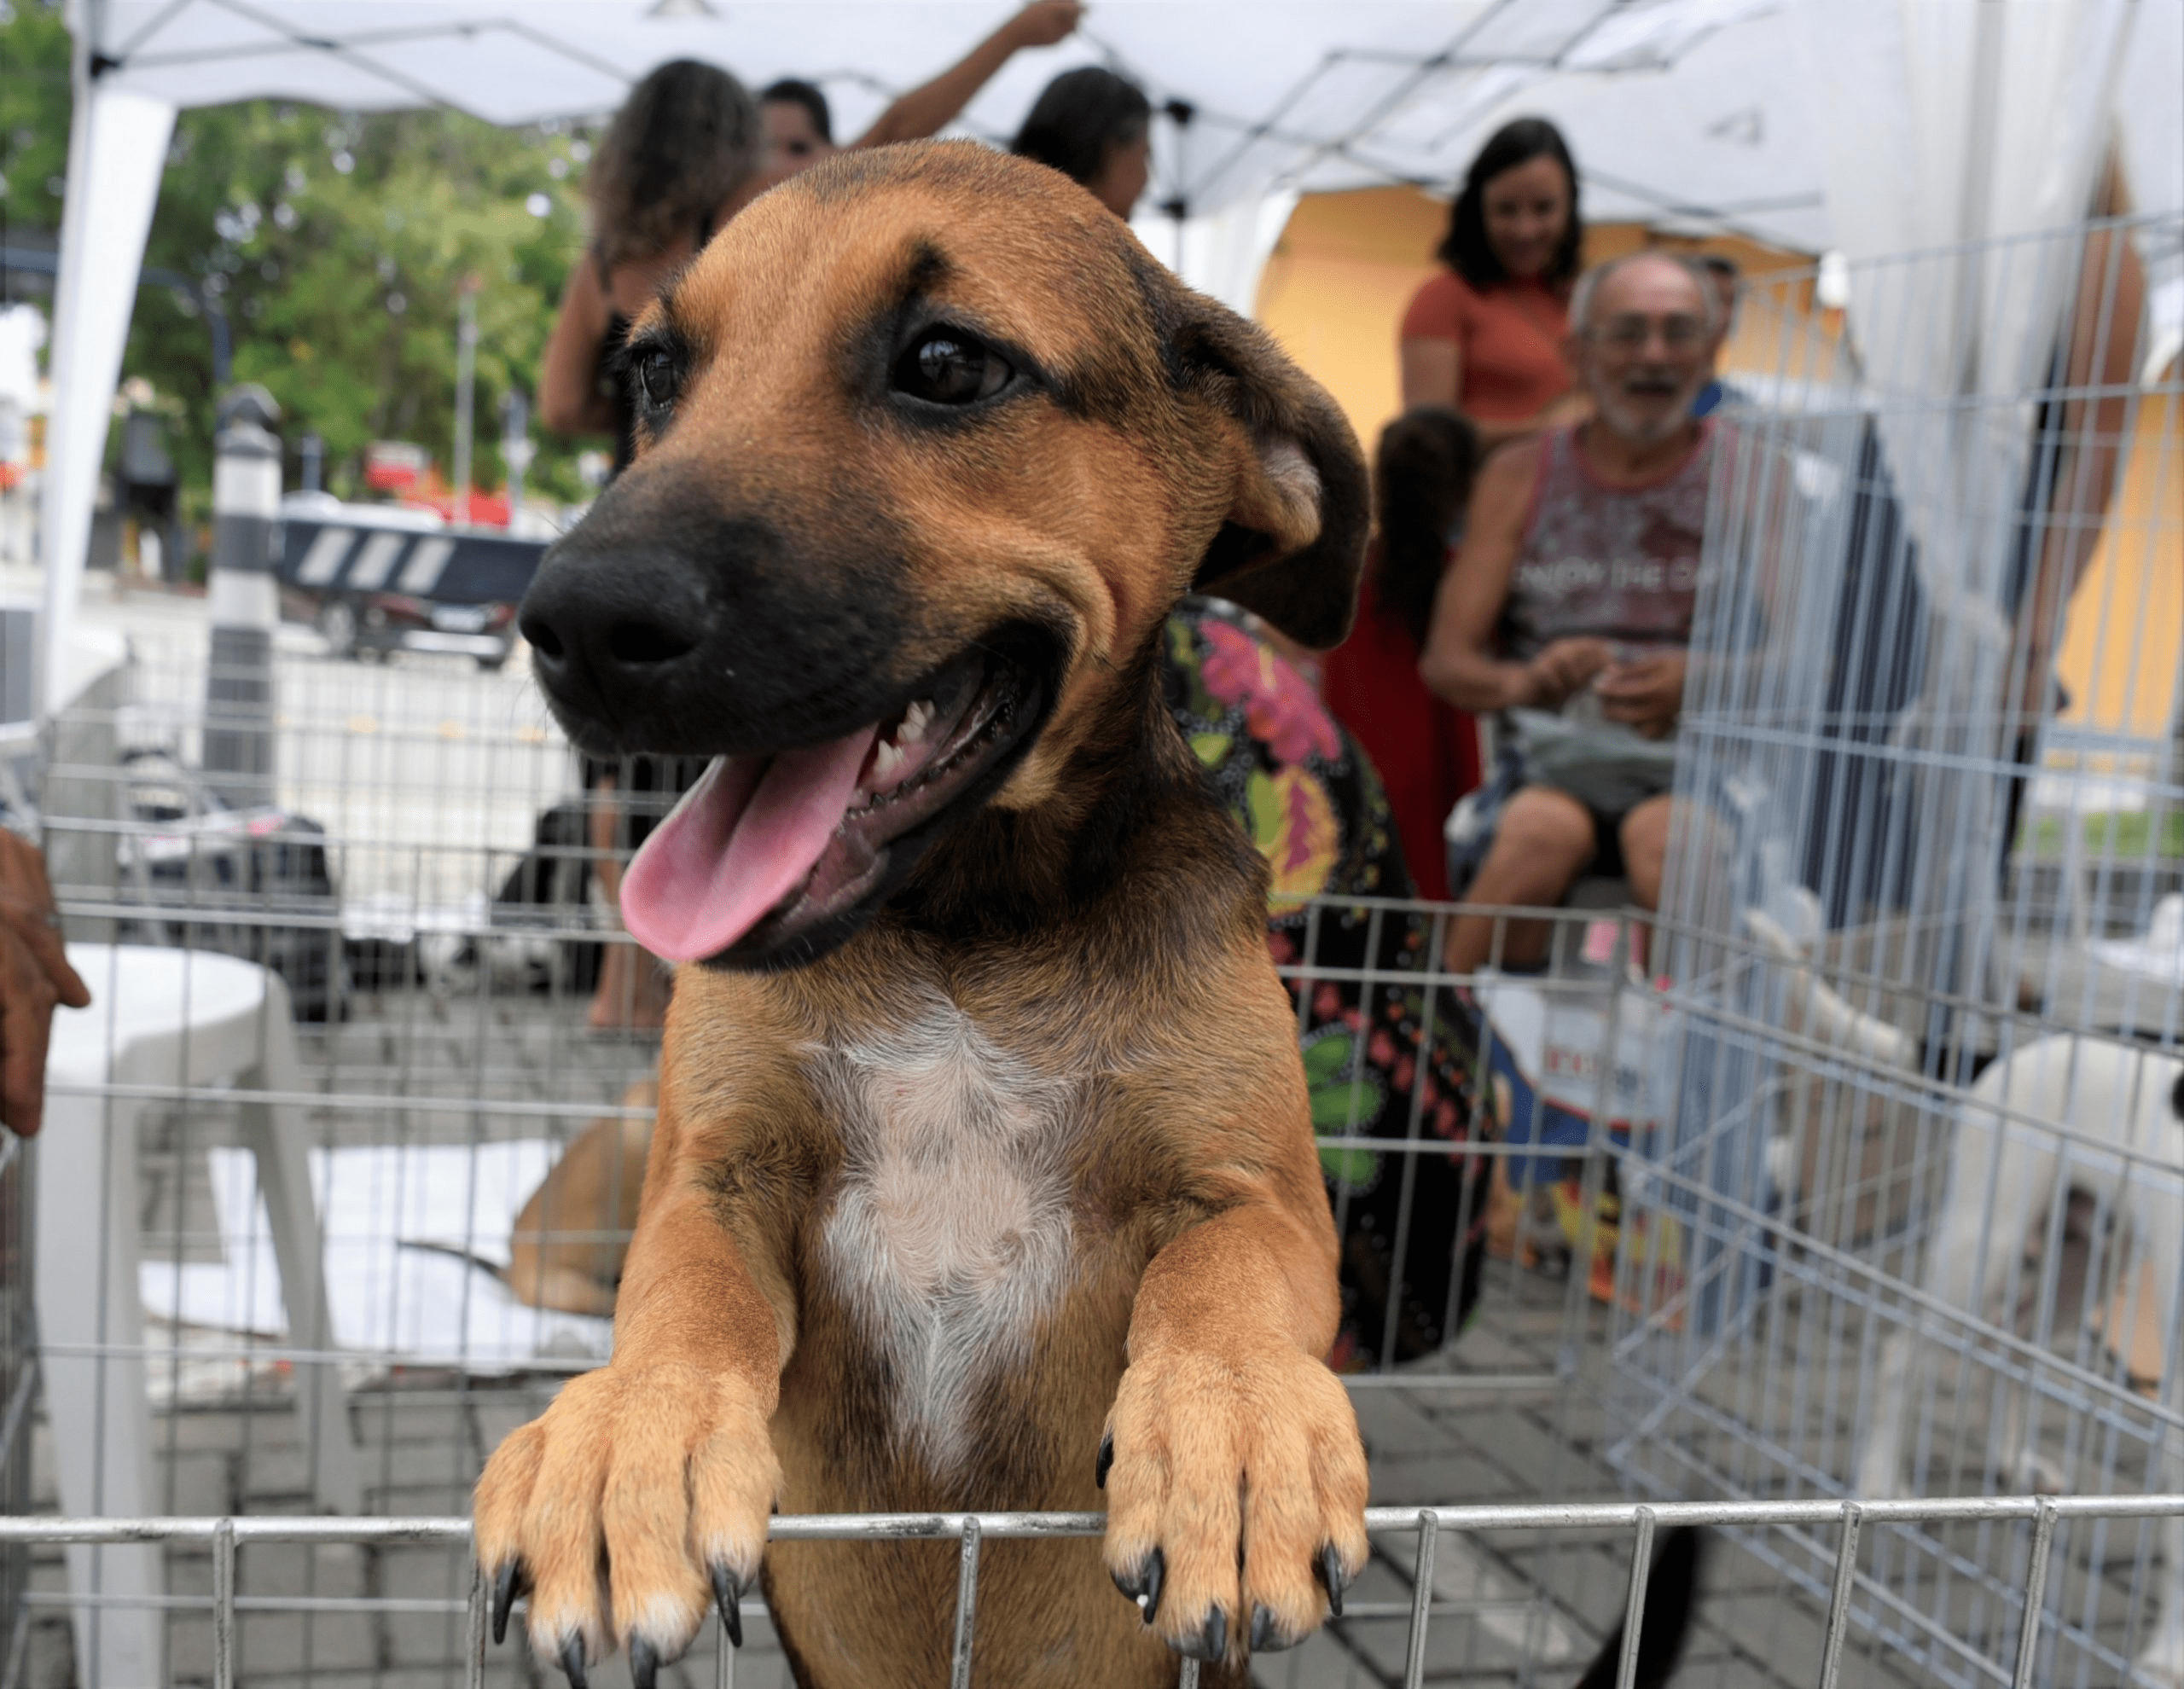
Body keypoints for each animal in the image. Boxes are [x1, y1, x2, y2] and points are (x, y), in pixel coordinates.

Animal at [482, 138, 1362, 1678]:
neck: (967, 931)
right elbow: (679, 1298)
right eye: (655, 372)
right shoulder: (712, 1176)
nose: (574, 625)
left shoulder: (1267, 1197)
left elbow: (1230, 1286)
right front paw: (625, 1441)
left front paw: (1239, 1430)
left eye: (947, 364)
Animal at [1747, 917, 2175, 1678]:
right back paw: (1881, 1479)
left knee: (2012, 1352)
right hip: (1982, 1247)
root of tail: (2032, 1041)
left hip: (2085, 1265)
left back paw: (2011, 1458)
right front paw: (2165, 1657)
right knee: (1901, 1353)